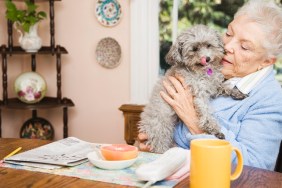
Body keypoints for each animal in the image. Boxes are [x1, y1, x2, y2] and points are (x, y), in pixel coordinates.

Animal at [139, 25, 247, 153]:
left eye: (208, 45)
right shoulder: (199, 93)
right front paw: (214, 129)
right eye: (194, 49)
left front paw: (237, 92)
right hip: (161, 130)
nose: (207, 58)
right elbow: (206, 112)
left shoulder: (213, 87)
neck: (203, 72)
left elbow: (224, 87)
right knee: (160, 145)